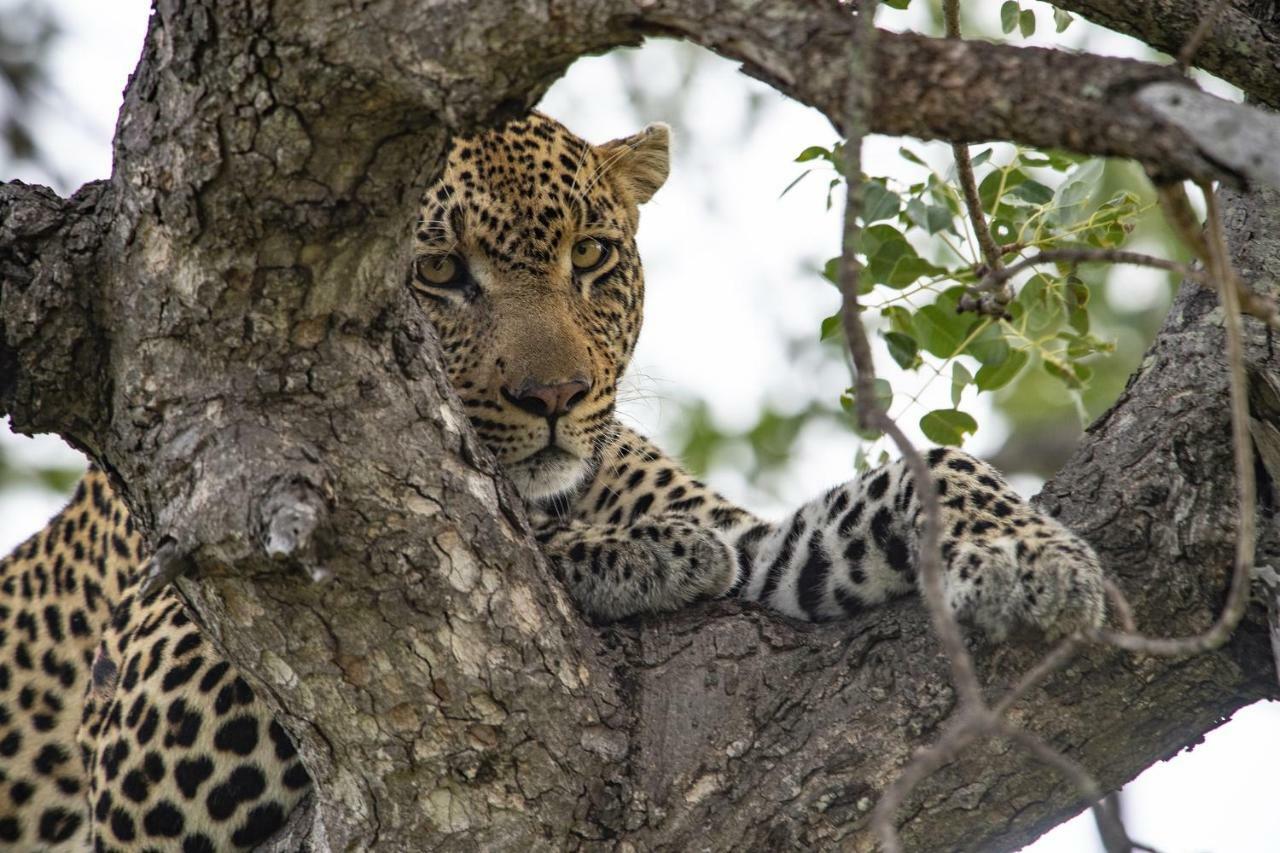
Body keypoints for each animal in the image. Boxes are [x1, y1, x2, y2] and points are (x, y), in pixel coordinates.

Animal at [0, 111, 1100, 845]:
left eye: (593, 256)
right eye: (439, 273)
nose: (557, 396)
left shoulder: (759, 546)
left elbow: (919, 474)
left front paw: (1027, 553)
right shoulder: (142, 709)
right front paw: (631, 551)